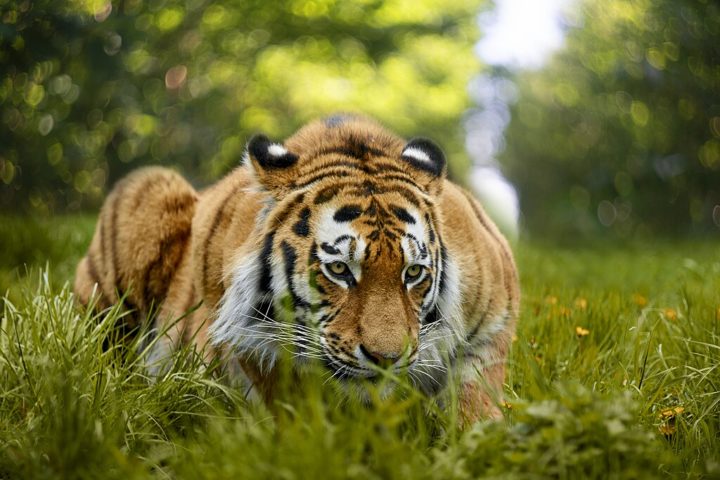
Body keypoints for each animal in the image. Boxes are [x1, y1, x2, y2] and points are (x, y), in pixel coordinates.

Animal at [74, 115, 519, 422]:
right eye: (339, 269)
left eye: (413, 273)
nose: (386, 359)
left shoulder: (492, 321)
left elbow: (475, 404)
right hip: (146, 193)